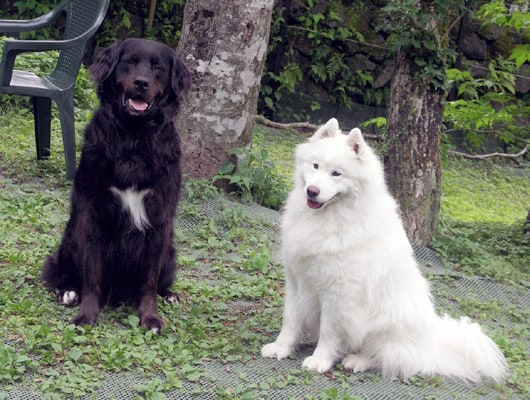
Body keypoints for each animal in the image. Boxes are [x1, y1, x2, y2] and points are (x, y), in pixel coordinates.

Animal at [41, 39, 190, 334]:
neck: (133, 136)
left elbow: (150, 280)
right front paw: (86, 315)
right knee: (62, 272)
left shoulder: (159, 220)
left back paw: (170, 295)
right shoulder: (92, 214)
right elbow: (92, 275)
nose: (142, 83)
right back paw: (68, 291)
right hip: (70, 237)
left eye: (158, 68)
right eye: (129, 62)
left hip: (170, 250)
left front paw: (150, 317)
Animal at [262, 118, 506, 382]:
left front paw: (320, 360)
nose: (312, 191)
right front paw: (281, 348)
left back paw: (357, 360)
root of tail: (431, 346)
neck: (328, 217)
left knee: (388, 358)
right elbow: (290, 320)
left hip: (386, 323)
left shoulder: (339, 293)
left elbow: (329, 331)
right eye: (315, 166)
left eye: (336, 174)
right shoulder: (296, 280)